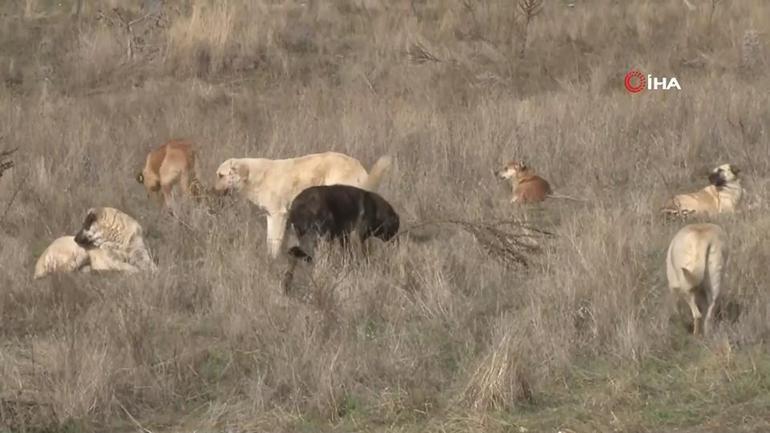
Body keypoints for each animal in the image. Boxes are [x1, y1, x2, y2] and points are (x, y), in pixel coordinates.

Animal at [213, 151, 390, 256]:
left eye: (221, 175)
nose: (212, 191)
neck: (253, 176)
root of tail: (360, 169)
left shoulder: (278, 215)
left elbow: (274, 243)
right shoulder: (273, 217)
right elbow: (272, 241)